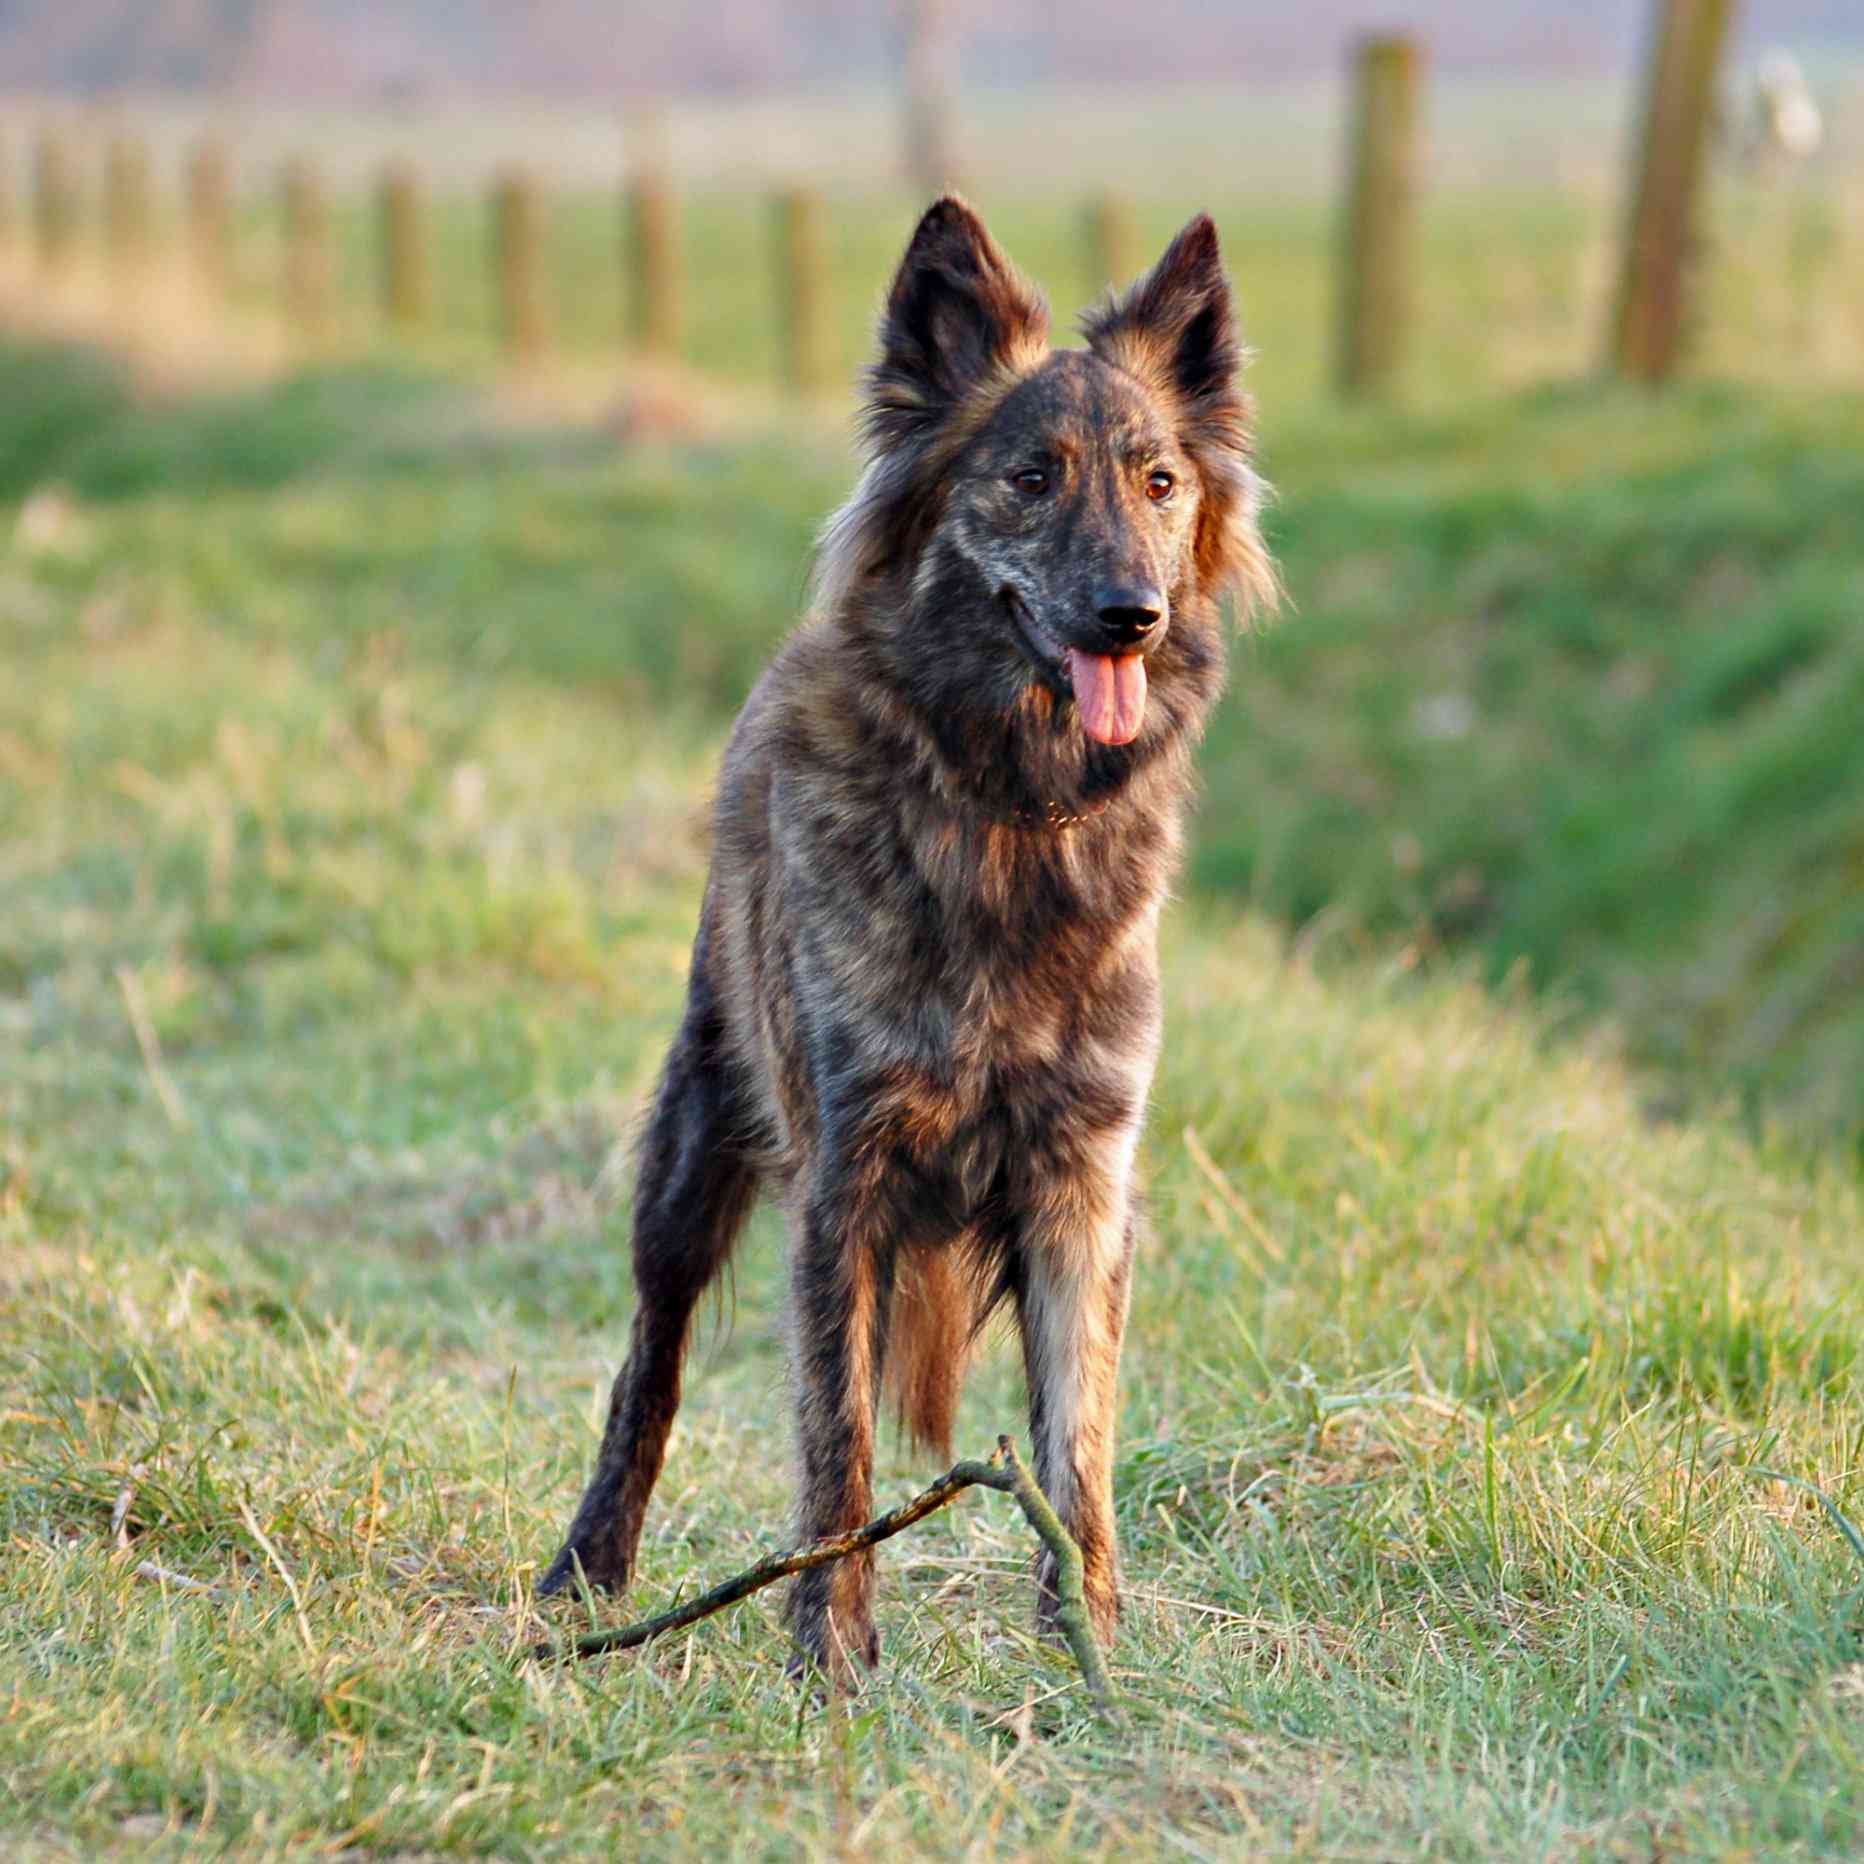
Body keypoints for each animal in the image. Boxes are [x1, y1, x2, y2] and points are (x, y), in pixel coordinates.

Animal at [536, 196, 1267, 1685]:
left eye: (1160, 482)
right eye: (1030, 478)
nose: (1132, 616)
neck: (1008, 813)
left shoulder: (1082, 1186)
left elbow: (1077, 1446)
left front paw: (1087, 1650)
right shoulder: (845, 1181)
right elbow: (841, 1444)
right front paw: (831, 1656)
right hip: (692, 1151)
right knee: (652, 1363)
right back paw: (589, 1570)